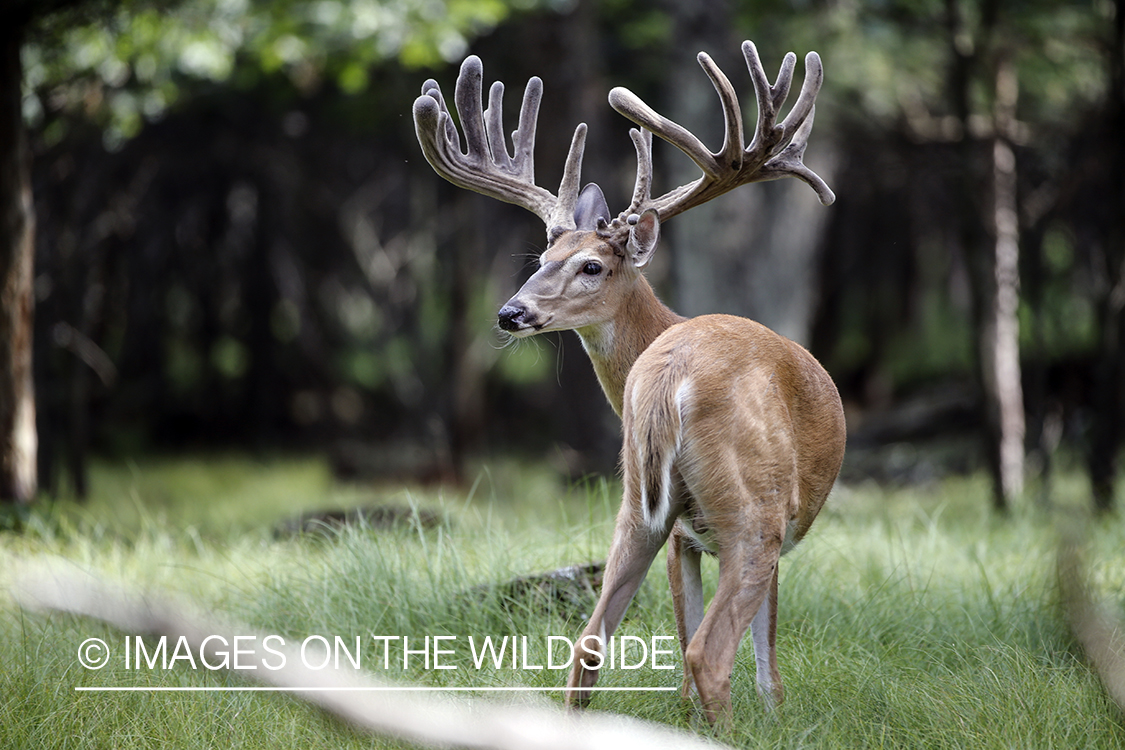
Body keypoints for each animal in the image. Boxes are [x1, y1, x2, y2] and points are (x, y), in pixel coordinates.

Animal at [414, 38, 846, 724]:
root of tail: (668, 376)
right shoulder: (755, 525)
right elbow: (766, 650)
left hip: (636, 504)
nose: (510, 313)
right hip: (757, 506)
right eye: (542, 259)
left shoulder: (680, 533)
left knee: (589, 641)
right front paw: (774, 715)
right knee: (707, 653)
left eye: (589, 265)